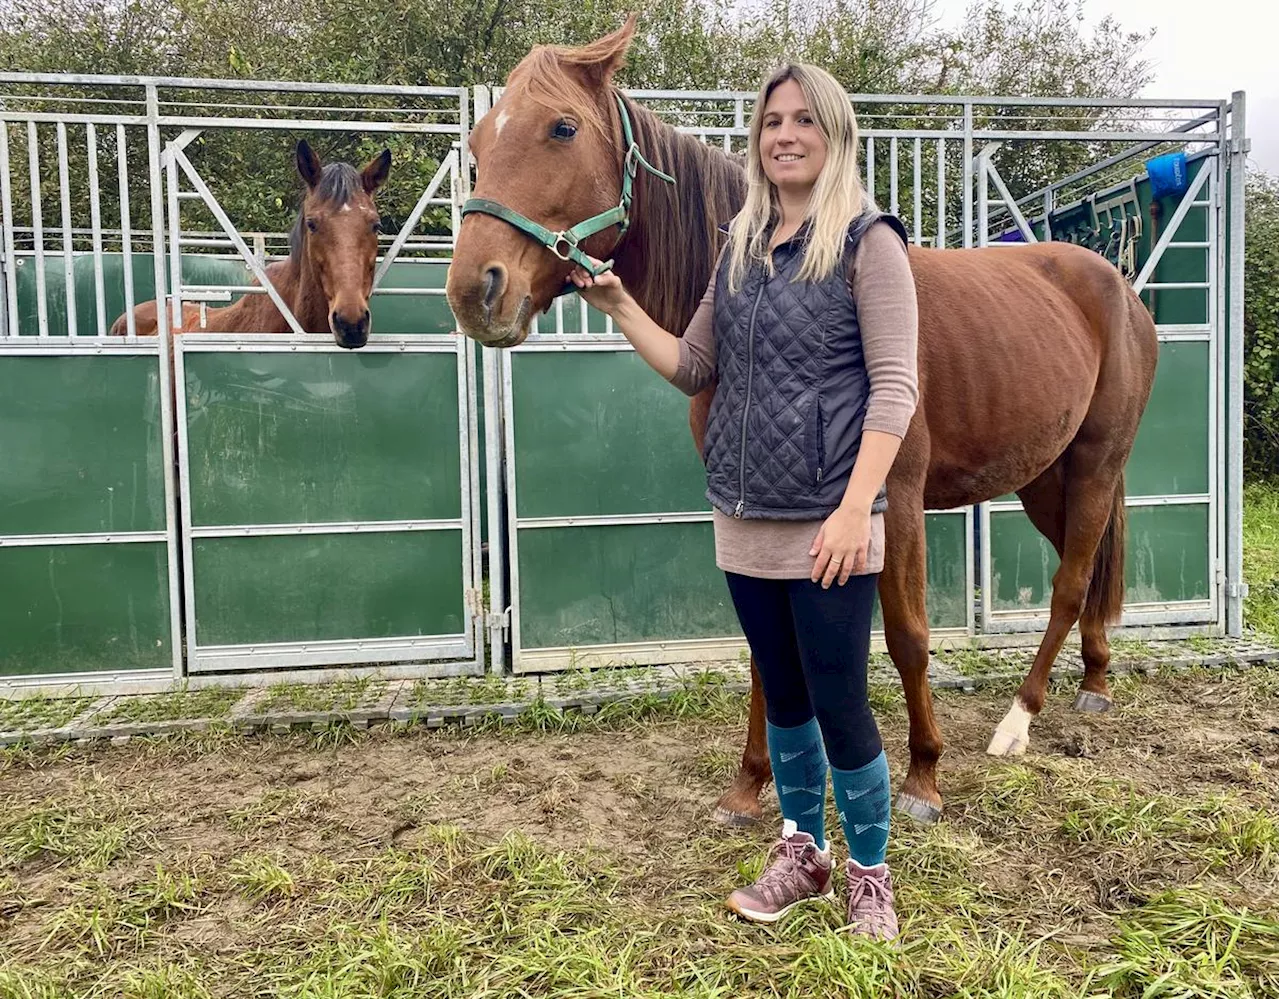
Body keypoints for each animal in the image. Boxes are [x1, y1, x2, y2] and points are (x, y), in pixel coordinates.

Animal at [448, 17, 1162, 824]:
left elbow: (909, 637)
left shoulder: (895, 502)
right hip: (1046, 475)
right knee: (1090, 566)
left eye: (562, 127)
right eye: (477, 147)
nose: (474, 291)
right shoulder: (749, 509)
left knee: (1071, 580)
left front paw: (923, 777)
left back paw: (1018, 719)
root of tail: (1118, 287)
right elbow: (769, 645)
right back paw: (1094, 683)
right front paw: (751, 784)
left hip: (1096, 461)